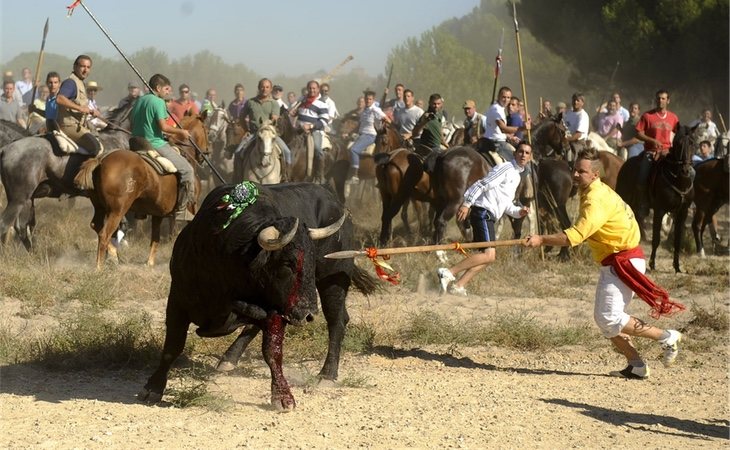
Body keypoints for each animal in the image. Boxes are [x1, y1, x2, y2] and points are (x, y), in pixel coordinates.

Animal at [74, 114, 209, 268]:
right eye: (206, 130)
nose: (207, 152)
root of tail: (101, 160)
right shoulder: (190, 207)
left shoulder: (158, 213)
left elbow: (155, 238)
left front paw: (150, 263)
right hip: (117, 210)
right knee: (104, 234)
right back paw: (99, 266)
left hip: (100, 207)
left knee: (96, 226)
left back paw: (113, 255)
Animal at [138, 181, 376, 410]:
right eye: (288, 263)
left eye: (312, 261)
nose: (307, 313)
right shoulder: (177, 298)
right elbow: (173, 346)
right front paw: (153, 388)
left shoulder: (276, 310)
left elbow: (272, 350)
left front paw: (282, 397)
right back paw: (229, 358)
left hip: (332, 283)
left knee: (337, 322)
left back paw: (327, 374)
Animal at [616, 125, 692, 270]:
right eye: (678, 143)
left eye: (692, 142)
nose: (685, 170)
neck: (677, 179)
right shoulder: (659, 210)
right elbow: (656, 239)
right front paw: (652, 264)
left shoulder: (682, 213)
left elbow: (677, 241)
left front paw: (677, 266)